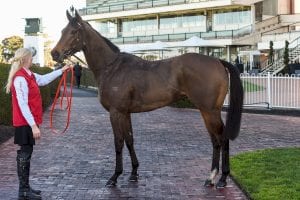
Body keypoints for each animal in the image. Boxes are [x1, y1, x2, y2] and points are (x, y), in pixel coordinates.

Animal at [51, 10, 244, 188]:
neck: (112, 67)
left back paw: (222, 179)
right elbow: (129, 140)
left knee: (222, 138)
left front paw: (114, 177)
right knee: (215, 141)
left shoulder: (115, 112)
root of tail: (218, 61)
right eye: (62, 30)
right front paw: (134, 173)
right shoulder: (125, 113)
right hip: (207, 111)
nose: (54, 54)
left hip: (209, 111)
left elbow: (118, 142)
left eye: (74, 31)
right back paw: (211, 178)